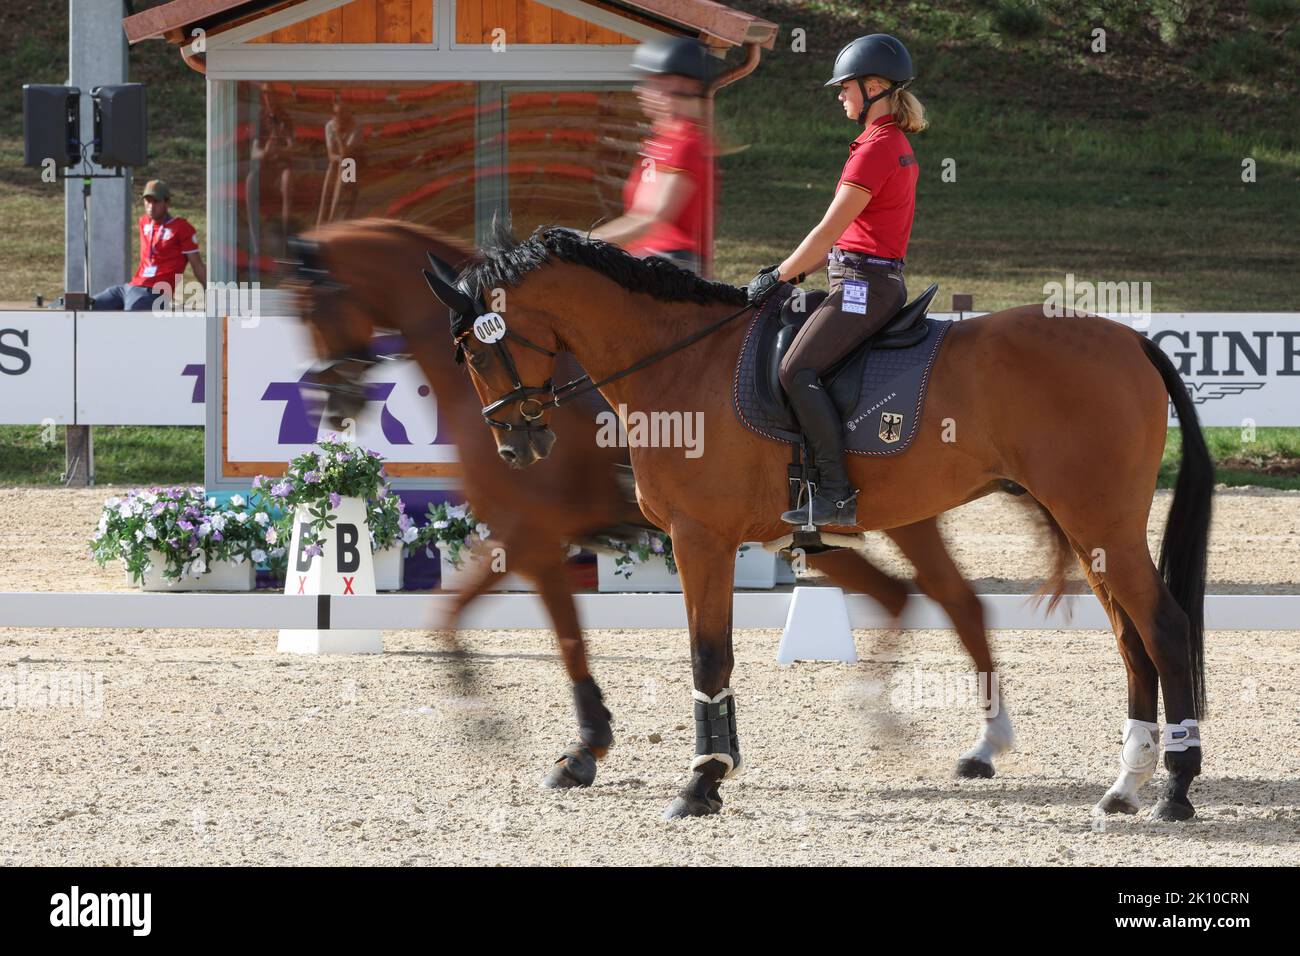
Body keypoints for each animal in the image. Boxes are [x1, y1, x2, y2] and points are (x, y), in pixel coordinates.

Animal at [289, 221, 1019, 790]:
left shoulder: (533, 535)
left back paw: (971, 740)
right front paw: (575, 744)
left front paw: (544, 738)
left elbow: (523, 629)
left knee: (947, 602)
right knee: (928, 600)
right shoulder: (535, 536)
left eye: (314, 309)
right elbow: (495, 624)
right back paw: (929, 728)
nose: (520, 444)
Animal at [421, 223, 1211, 822]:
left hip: (1099, 522)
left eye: (472, 349)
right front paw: (705, 767)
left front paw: (700, 782)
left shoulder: (699, 539)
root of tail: (1131, 341)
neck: (681, 362)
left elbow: (707, 656)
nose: (516, 445)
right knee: (1125, 637)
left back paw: (1173, 788)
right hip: (1087, 531)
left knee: (1162, 627)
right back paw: (1125, 783)